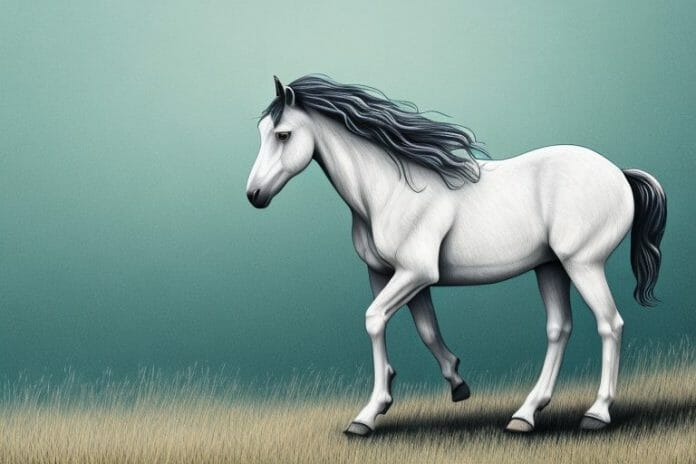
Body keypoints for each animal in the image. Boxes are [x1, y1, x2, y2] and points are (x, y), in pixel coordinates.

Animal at [245, 75, 667, 436]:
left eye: (283, 134)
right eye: (263, 132)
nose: (254, 195)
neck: (388, 191)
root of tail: (620, 173)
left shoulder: (414, 273)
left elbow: (374, 320)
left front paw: (368, 414)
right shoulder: (390, 275)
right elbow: (427, 330)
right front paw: (457, 383)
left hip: (583, 264)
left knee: (609, 325)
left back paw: (597, 413)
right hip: (551, 267)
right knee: (559, 329)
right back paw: (525, 415)